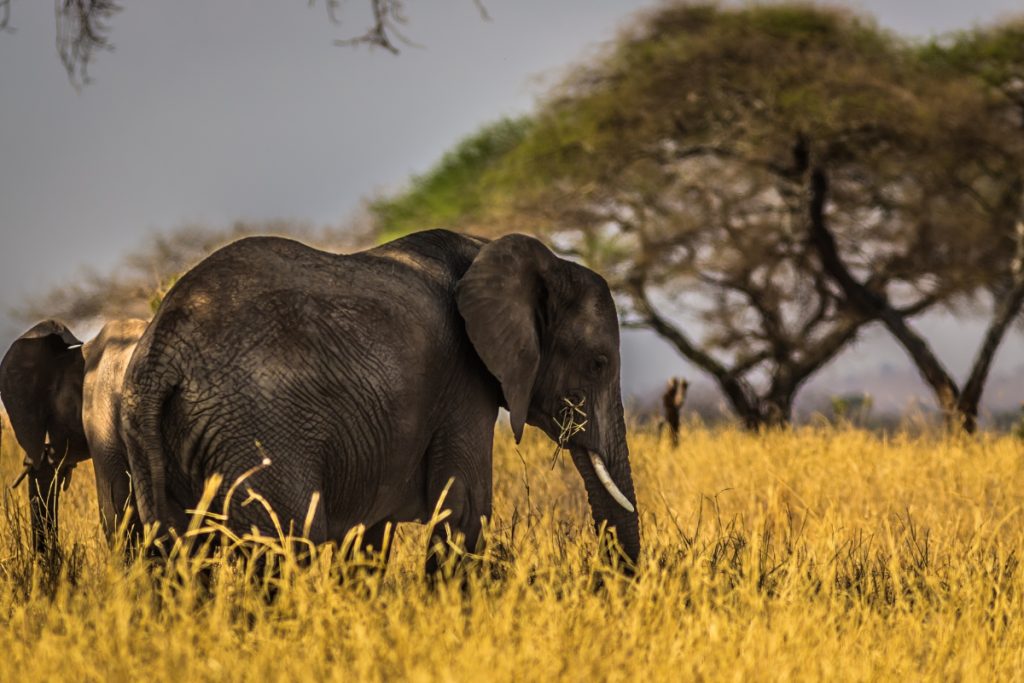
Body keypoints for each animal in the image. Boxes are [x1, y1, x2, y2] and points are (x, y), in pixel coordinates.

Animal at [121, 229, 640, 575]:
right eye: (598, 363)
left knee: (174, 554)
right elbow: (465, 507)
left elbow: (370, 533)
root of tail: (163, 350)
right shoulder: (463, 381)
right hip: (255, 430)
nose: (608, 580)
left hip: (154, 441)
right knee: (288, 547)